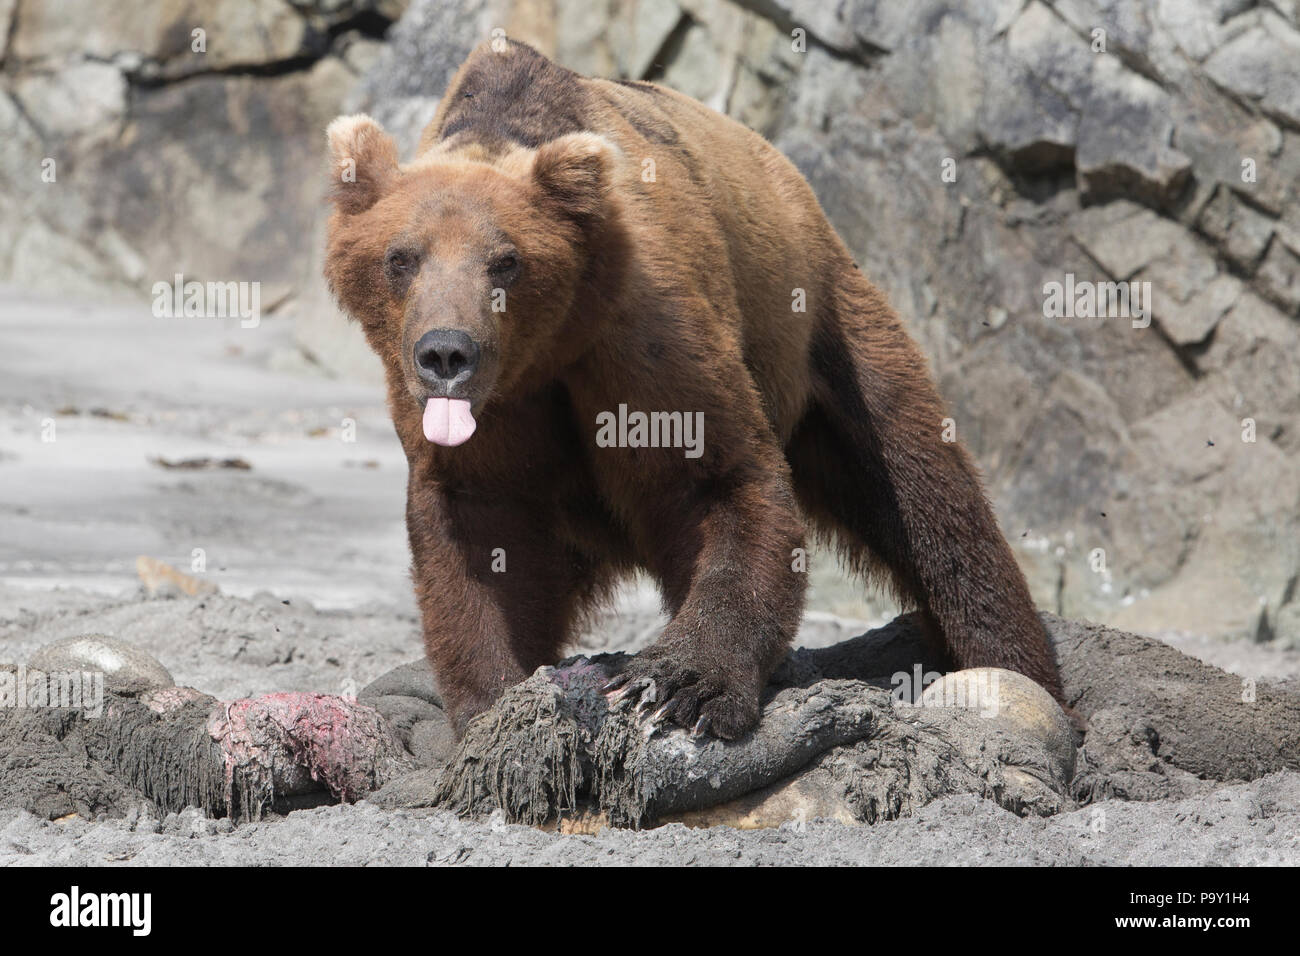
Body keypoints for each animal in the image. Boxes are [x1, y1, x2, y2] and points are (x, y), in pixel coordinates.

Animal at [325, 39, 1066, 738]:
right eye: (400, 257)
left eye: (505, 261)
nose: (447, 352)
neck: (545, 353)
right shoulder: (488, 415)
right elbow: (478, 527)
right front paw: (497, 701)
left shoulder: (643, 335)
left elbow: (718, 477)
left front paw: (681, 683)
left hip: (823, 324)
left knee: (926, 490)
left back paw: (1017, 670)